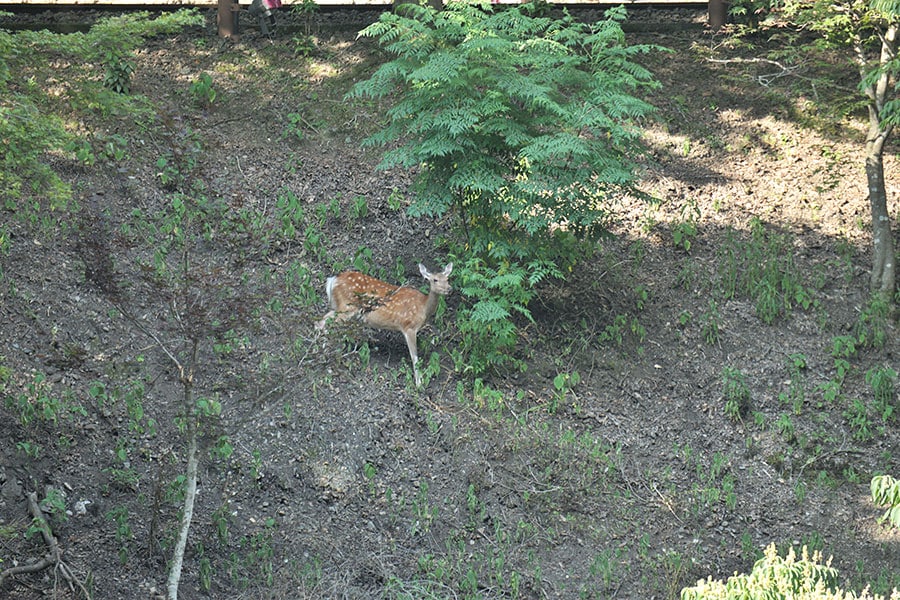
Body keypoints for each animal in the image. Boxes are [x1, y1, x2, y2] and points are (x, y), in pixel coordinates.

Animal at [318, 264, 458, 386]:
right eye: (435, 279)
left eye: (447, 278)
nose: (449, 289)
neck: (423, 308)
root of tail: (333, 280)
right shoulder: (409, 326)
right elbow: (414, 357)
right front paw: (419, 383)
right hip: (346, 307)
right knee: (323, 324)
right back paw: (326, 361)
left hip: (339, 307)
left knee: (322, 322)